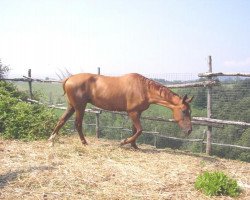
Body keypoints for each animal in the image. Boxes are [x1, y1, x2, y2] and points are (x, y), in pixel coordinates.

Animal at [48, 72, 193, 148]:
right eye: (184, 111)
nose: (189, 130)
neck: (144, 89)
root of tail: (69, 78)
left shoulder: (137, 113)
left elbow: (135, 130)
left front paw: (134, 145)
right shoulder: (132, 113)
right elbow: (139, 130)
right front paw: (124, 142)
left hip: (72, 106)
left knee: (61, 120)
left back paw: (51, 138)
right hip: (80, 107)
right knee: (77, 124)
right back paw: (84, 142)